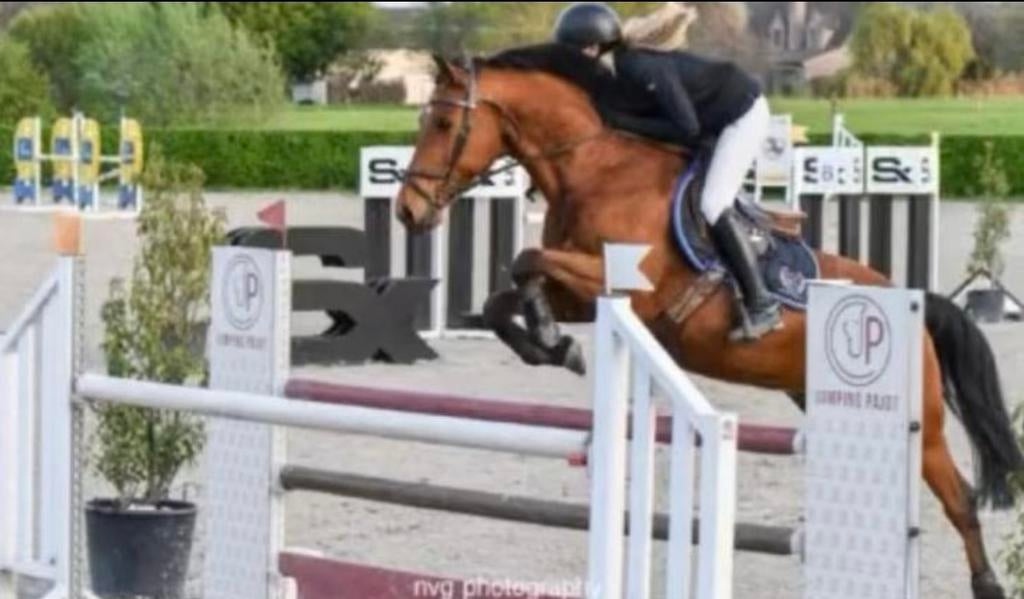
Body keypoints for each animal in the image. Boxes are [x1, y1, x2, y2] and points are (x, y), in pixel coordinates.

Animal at [394, 43, 1023, 599]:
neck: (594, 168)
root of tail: (913, 300)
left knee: (960, 497)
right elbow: (508, 294)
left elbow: (526, 259)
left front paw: (552, 340)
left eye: (444, 123)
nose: (408, 211)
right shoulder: (585, 294)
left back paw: (987, 584)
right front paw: (551, 344)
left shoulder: (625, 287)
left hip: (927, 426)